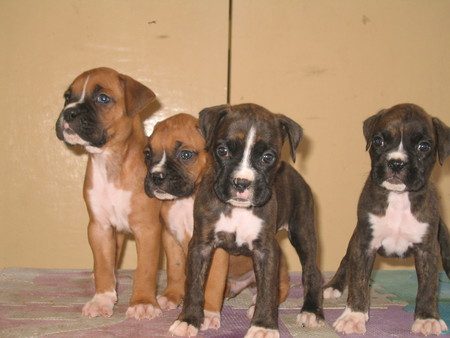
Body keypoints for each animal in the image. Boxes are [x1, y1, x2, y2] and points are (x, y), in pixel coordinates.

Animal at [54, 68, 163, 320]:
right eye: (67, 96)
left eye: (103, 98)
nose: (69, 112)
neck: (110, 161)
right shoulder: (100, 227)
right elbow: (103, 264)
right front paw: (101, 298)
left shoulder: (147, 229)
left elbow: (145, 269)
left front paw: (143, 302)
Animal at [145, 113, 292, 330]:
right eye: (147, 154)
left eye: (186, 155)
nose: (156, 176)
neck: (188, 199)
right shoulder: (171, 238)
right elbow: (176, 269)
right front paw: (172, 295)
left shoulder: (217, 249)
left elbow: (213, 282)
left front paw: (209, 313)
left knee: (278, 288)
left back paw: (255, 306)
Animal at [169, 103, 324, 338]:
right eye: (222, 151)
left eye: (268, 157)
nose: (242, 183)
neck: (237, 209)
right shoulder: (200, 245)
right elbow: (194, 284)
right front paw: (188, 320)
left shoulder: (266, 250)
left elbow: (268, 289)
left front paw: (264, 325)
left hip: (303, 232)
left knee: (311, 272)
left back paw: (310, 312)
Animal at [324, 103, 450, 336]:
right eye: (378, 141)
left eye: (424, 146)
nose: (396, 162)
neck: (399, 198)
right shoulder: (363, 245)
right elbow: (358, 282)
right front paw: (354, 316)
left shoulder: (427, 250)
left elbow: (428, 286)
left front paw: (427, 318)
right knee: (346, 262)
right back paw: (334, 287)